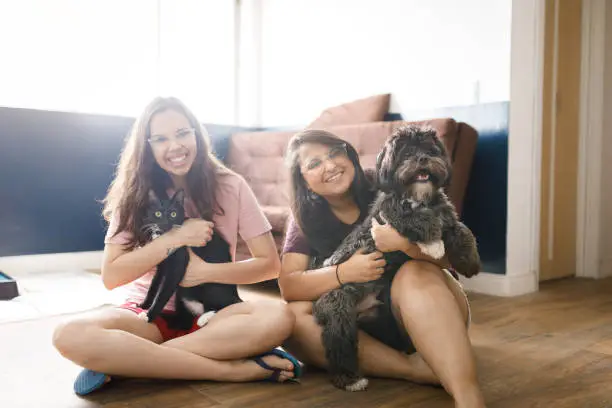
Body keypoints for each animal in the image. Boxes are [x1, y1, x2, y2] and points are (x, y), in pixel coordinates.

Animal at [140, 190, 243, 330]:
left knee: (229, 304)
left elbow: (163, 293)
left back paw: (205, 317)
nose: (165, 223)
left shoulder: (178, 266)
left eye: (173, 213)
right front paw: (144, 306)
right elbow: (153, 286)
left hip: (213, 281)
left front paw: (148, 316)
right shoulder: (161, 266)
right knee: (183, 323)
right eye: (157, 213)